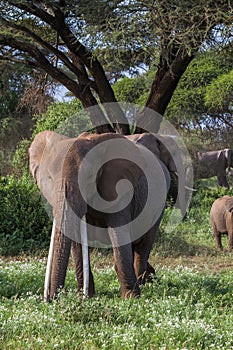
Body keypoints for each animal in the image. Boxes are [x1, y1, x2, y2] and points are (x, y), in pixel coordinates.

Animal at [29, 130, 171, 300]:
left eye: (88, 178)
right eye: (49, 179)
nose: (51, 299)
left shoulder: (119, 189)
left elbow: (118, 234)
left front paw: (131, 297)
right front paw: (85, 296)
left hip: (159, 203)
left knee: (144, 244)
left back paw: (143, 284)